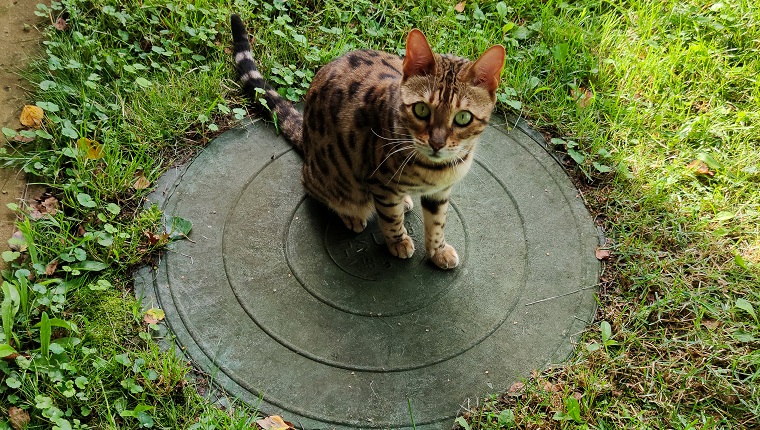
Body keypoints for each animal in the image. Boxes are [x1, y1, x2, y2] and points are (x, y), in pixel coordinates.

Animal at [232, 15, 504, 270]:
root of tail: (307, 144)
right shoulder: (381, 183)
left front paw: (438, 251)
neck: (436, 171)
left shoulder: (440, 193)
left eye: (463, 117)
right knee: (319, 189)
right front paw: (398, 242)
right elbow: (391, 219)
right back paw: (352, 215)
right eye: (421, 110)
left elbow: (437, 223)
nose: (437, 143)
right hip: (332, 177)